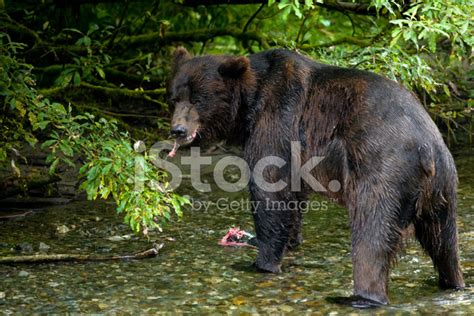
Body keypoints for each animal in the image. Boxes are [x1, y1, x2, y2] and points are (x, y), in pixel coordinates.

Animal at [168, 48, 466, 308]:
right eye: (173, 98)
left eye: (198, 99)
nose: (177, 130)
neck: (248, 106)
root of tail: (427, 146)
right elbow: (293, 197)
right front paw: (289, 241)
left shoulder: (277, 122)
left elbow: (270, 191)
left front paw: (261, 262)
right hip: (443, 189)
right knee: (444, 242)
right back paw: (453, 282)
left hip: (382, 171)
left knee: (372, 233)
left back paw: (360, 297)